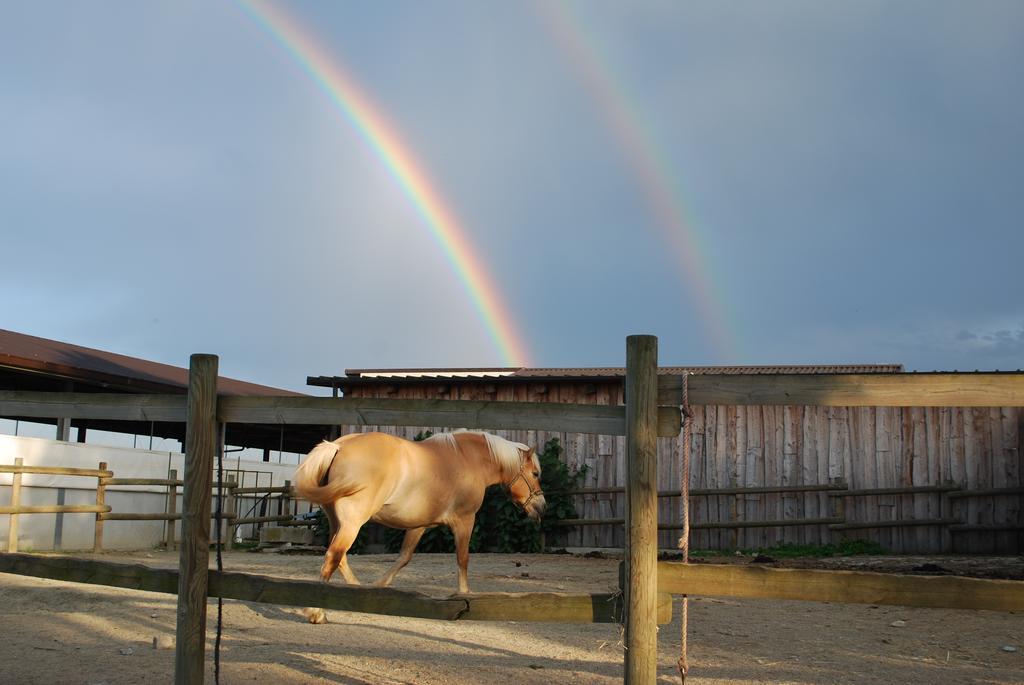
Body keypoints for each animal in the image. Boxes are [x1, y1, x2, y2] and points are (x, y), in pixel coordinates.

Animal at [294, 432, 544, 618]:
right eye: (534, 473)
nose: (541, 507)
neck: (467, 459)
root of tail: (337, 446)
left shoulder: (418, 525)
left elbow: (404, 557)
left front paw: (380, 585)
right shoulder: (464, 520)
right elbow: (463, 558)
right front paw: (464, 593)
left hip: (337, 522)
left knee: (340, 557)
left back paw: (357, 591)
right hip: (352, 523)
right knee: (333, 557)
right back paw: (317, 611)